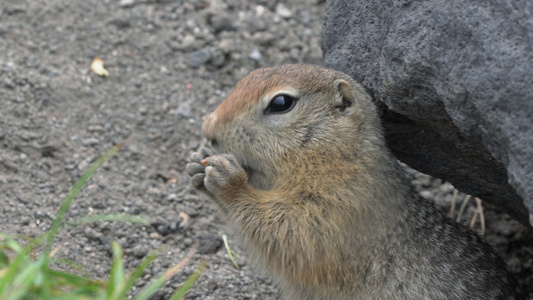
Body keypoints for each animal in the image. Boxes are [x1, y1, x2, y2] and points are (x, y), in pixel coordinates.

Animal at [185, 64, 520, 298]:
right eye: (245, 79)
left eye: (281, 103)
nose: (207, 129)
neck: (337, 157)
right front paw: (195, 164)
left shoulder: (343, 205)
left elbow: (291, 232)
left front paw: (229, 181)